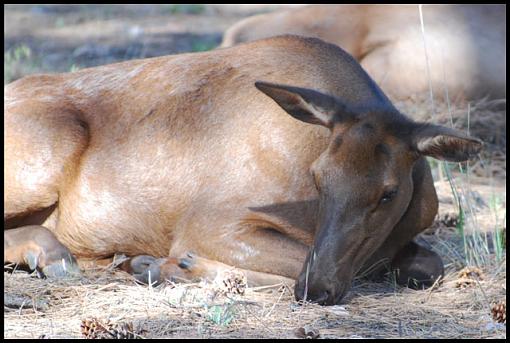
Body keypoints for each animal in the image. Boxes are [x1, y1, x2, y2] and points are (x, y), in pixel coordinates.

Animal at [4, 35, 482, 306]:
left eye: (388, 192)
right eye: (318, 177)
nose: (318, 289)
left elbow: (430, 265)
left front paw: (159, 266)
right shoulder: (212, 221)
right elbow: (324, 266)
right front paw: (170, 266)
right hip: (43, 155)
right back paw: (54, 254)